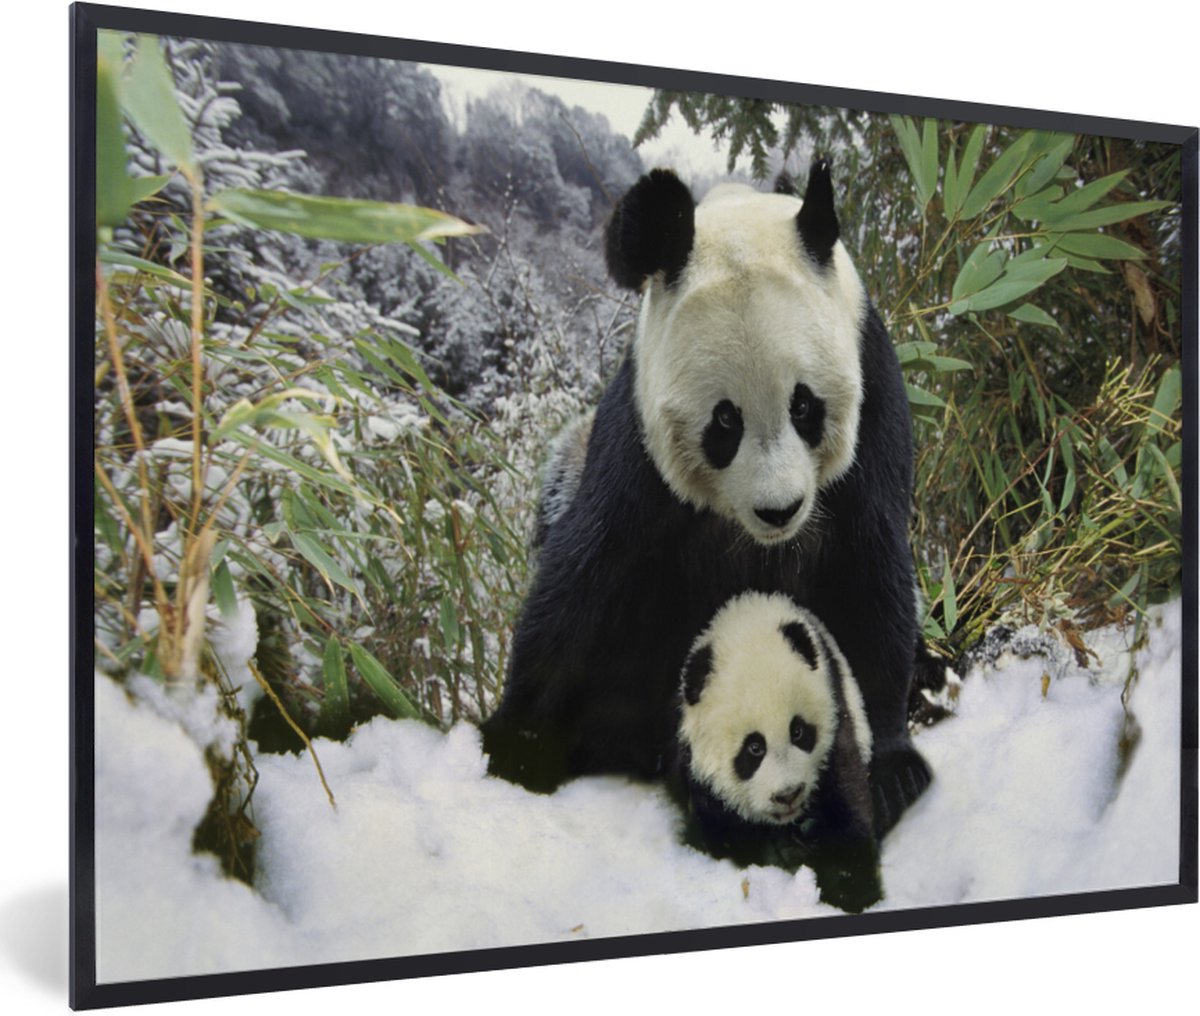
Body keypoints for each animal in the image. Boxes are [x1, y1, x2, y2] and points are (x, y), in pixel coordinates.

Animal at [481, 160, 930, 835]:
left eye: (805, 406)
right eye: (724, 421)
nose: (779, 510)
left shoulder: (873, 399)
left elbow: (869, 571)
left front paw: (892, 767)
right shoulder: (637, 444)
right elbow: (583, 577)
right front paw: (519, 743)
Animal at [672, 592, 881, 913]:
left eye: (798, 731)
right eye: (754, 748)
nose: (788, 794)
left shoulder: (837, 724)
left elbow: (848, 804)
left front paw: (849, 887)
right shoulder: (701, 776)